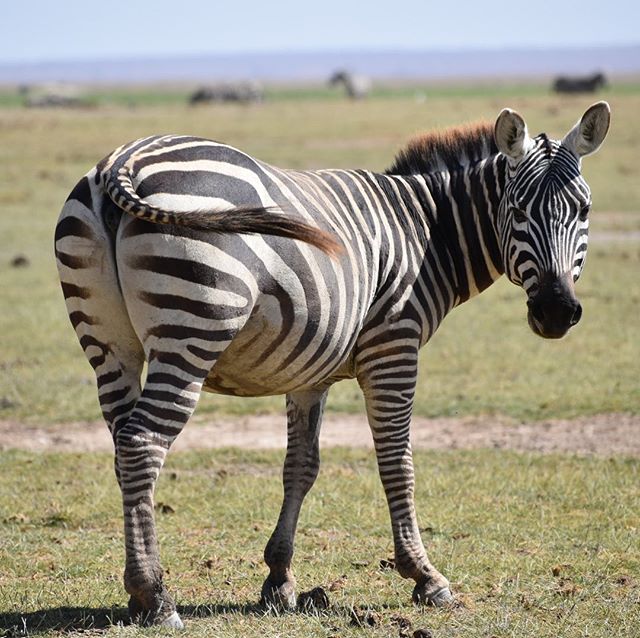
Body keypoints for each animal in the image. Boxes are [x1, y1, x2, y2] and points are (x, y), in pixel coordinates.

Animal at [55, 102, 608, 628]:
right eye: (517, 209)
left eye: (583, 209)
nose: (556, 311)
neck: (429, 234)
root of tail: (124, 161)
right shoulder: (394, 347)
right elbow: (397, 462)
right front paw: (425, 576)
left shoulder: (309, 374)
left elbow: (300, 467)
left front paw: (279, 581)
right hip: (192, 329)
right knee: (142, 443)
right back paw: (155, 596)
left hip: (108, 346)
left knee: (122, 445)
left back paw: (138, 595)